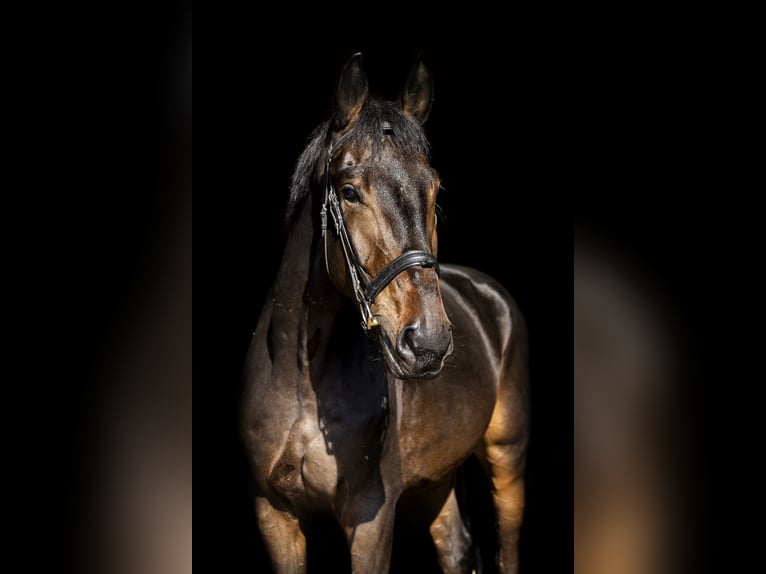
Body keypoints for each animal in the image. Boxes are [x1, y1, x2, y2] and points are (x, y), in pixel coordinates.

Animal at [243, 55, 532, 574]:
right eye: (349, 191)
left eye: (435, 191)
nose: (428, 344)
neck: (301, 377)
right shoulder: (273, 514)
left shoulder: (370, 519)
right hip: (436, 477)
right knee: (455, 546)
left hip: (507, 458)